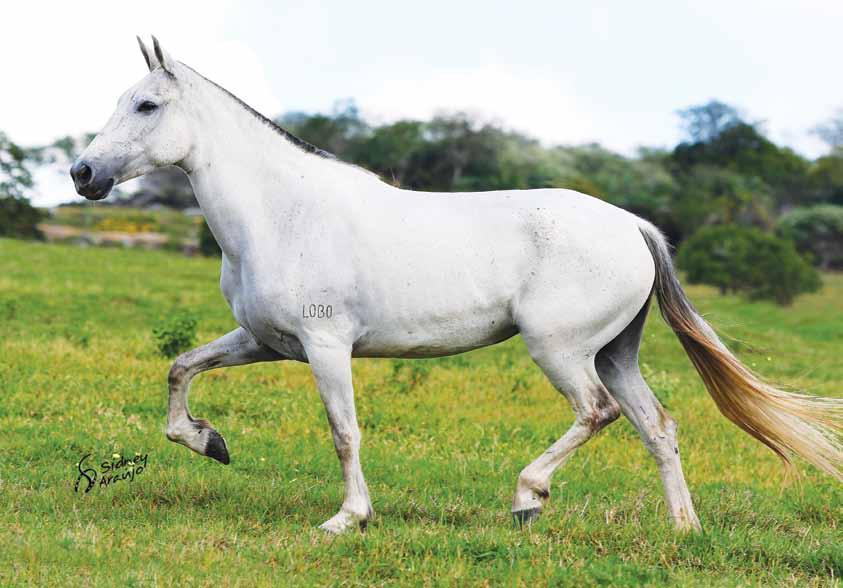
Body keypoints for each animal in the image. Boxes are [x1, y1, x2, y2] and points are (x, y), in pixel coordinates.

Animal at [74, 35, 843, 532]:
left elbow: (343, 431)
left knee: (598, 413)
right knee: (656, 426)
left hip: (561, 351)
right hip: (614, 352)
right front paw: (209, 442)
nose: (83, 174)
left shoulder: (325, 346)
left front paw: (347, 519)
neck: (281, 211)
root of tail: (632, 226)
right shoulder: (263, 340)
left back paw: (528, 498)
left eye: (145, 106)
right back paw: (682, 529)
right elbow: (181, 368)